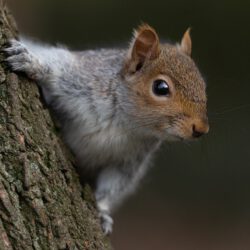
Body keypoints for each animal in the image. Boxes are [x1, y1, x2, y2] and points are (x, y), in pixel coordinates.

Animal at [5, 23, 209, 234]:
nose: (201, 129)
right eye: (161, 87)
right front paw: (30, 61)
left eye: (203, 86)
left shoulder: (128, 161)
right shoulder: (81, 76)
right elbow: (56, 64)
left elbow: (112, 186)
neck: (123, 122)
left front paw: (102, 212)